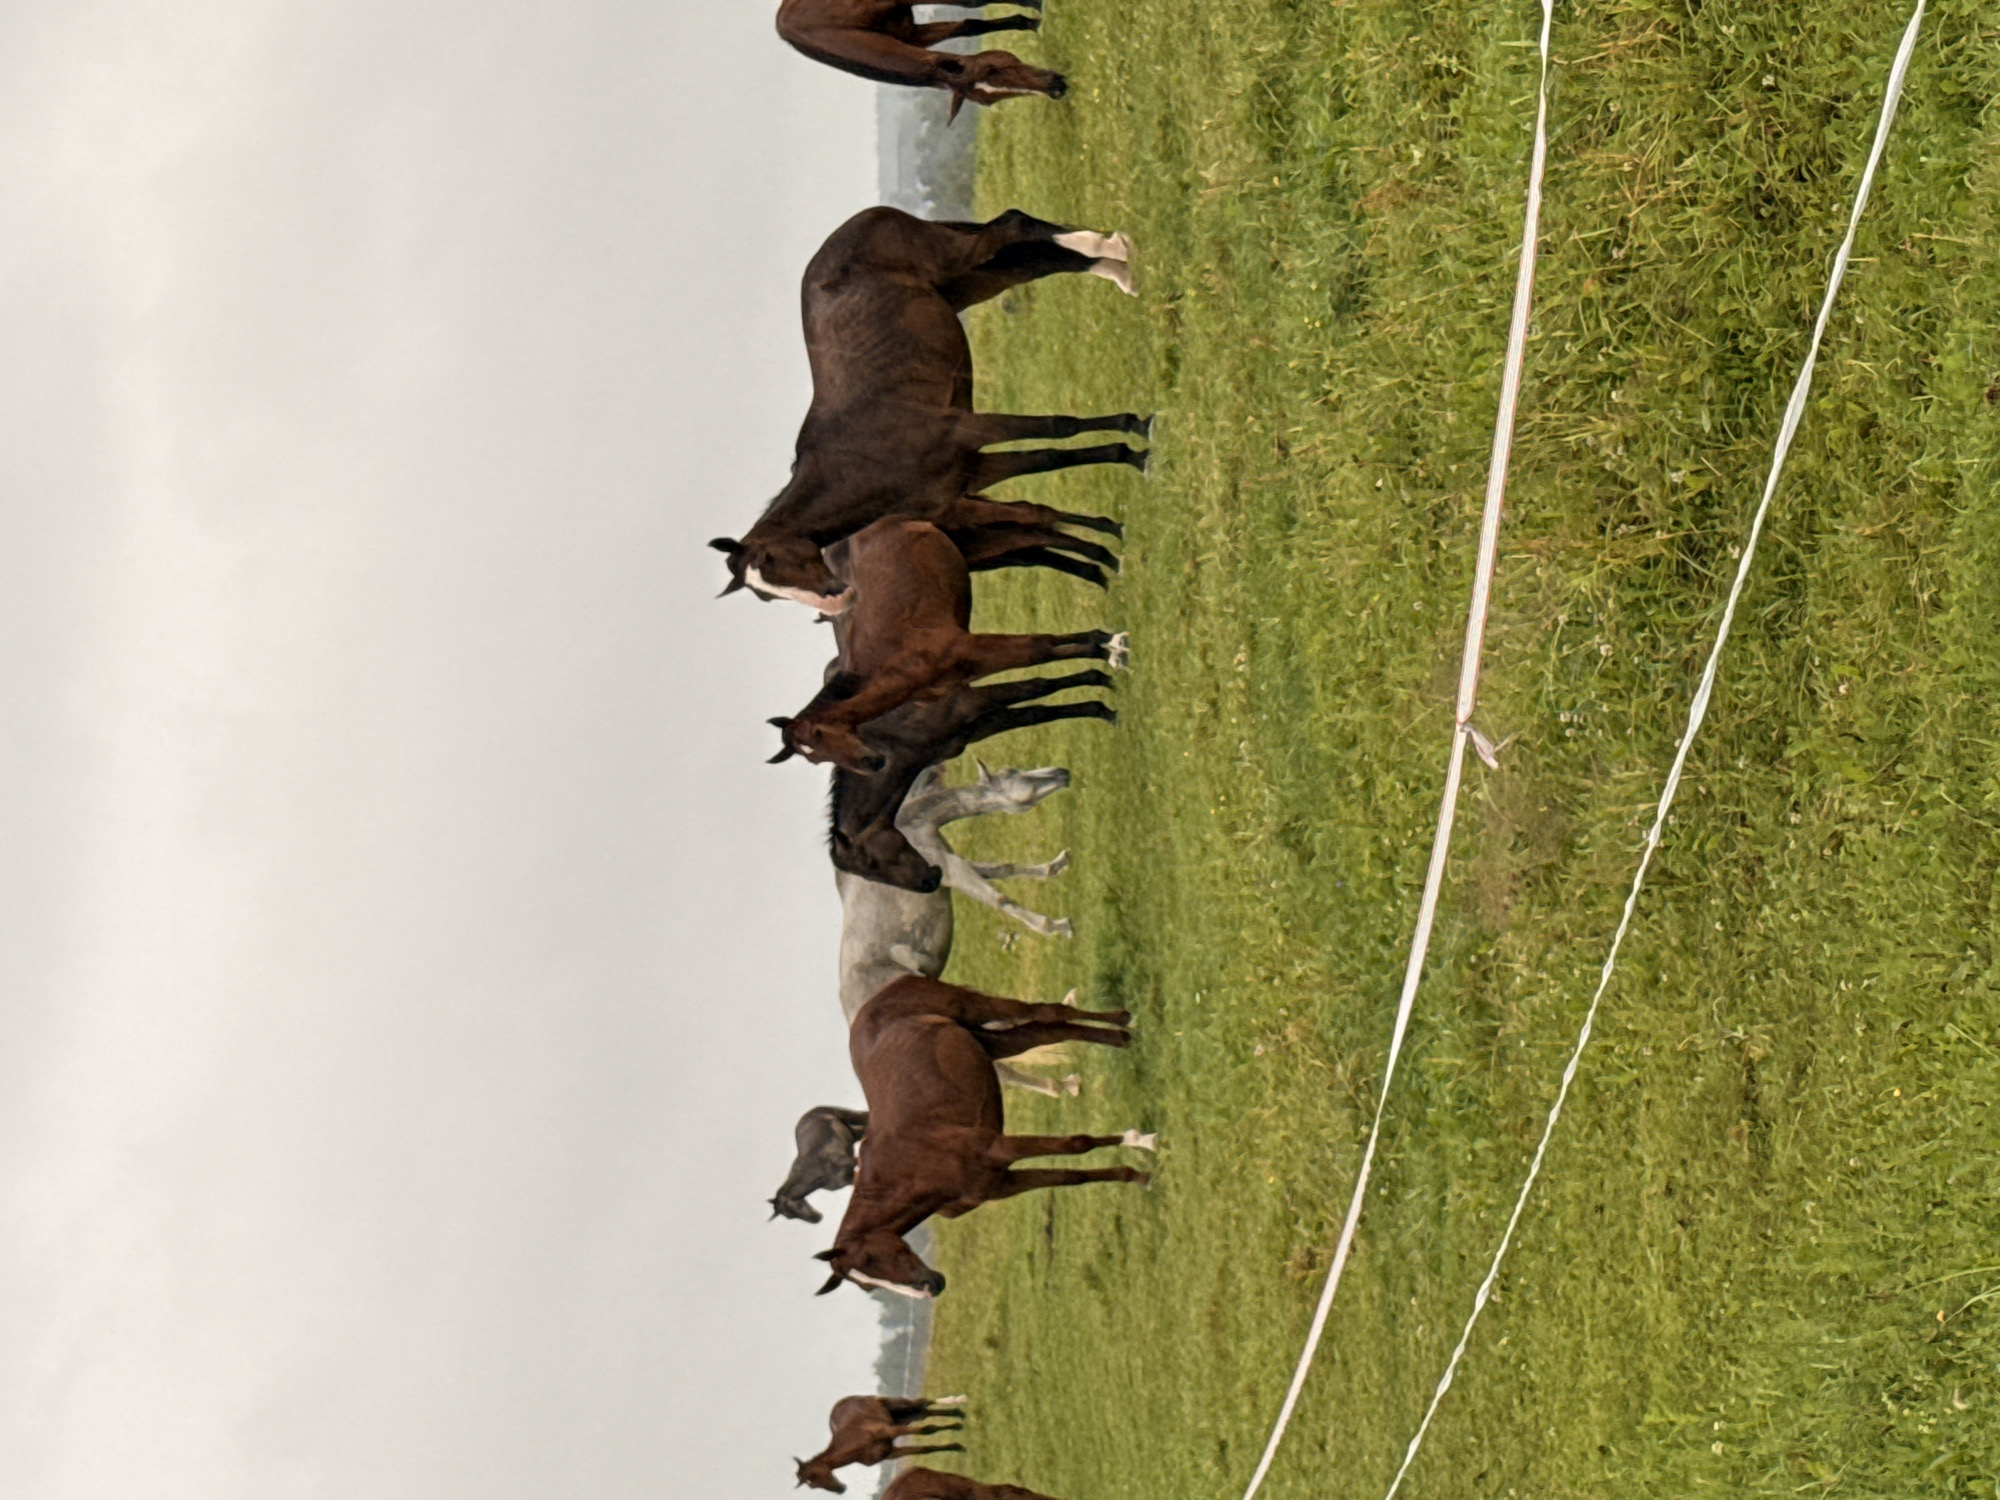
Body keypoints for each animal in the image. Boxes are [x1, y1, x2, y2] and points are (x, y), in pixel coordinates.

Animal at [711, 206, 1147, 611]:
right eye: (768, 596)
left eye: (776, 559)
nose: (840, 601)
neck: (859, 461)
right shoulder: (971, 471)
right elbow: (1047, 462)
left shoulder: (970, 430)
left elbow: (1059, 428)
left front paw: (1137, 438)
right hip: (975, 279)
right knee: (1032, 259)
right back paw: (1118, 268)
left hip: (957, 259)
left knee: (1013, 226)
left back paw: (1110, 247)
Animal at [768, 518, 1126, 773]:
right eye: (817, 759)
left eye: (819, 734)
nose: (872, 764)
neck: (895, 662)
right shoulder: (968, 672)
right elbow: (1036, 682)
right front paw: (1103, 672)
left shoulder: (969, 648)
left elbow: (1042, 650)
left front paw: (1105, 650)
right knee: (1034, 543)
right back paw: (1100, 566)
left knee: (1037, 532)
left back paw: (1109, 552)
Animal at [777, 0, 1062, 120]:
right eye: (988, 101)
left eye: (993, 68)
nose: (1056, 87)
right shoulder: (912, 35)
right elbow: (970, 24)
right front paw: (1029, 21)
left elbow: (971, 7)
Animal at [795, 1395, 969, 1493]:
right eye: (813, 1485)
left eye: (813, 1478)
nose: (840, 1490)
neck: (854, 1443)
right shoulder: (891, 1453)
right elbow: (926, 1449)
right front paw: (955, 1446)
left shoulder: (891, 1430)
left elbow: (928, 1429)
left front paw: (957, 1445)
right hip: (904, 1417)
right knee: (924, 1411)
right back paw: (957, 1417)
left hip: (897, 1406)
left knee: (924, 1402)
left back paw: (958, 1399)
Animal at [814, 975, 1154, 1299]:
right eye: (868, 1286)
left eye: (870, 1259)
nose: (931, 1287)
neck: (912, 1166)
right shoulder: (1001, 1184)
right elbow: (1070, 1177)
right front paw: (1136, 1172)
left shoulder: (997, 1148)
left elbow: (1076, 1144)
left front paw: (1136, 1141)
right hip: (989, 1041)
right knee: (1048, 1031)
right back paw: (1120, 1038)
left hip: (977, 1009)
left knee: (1049, 1013)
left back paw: (1122, 1021)